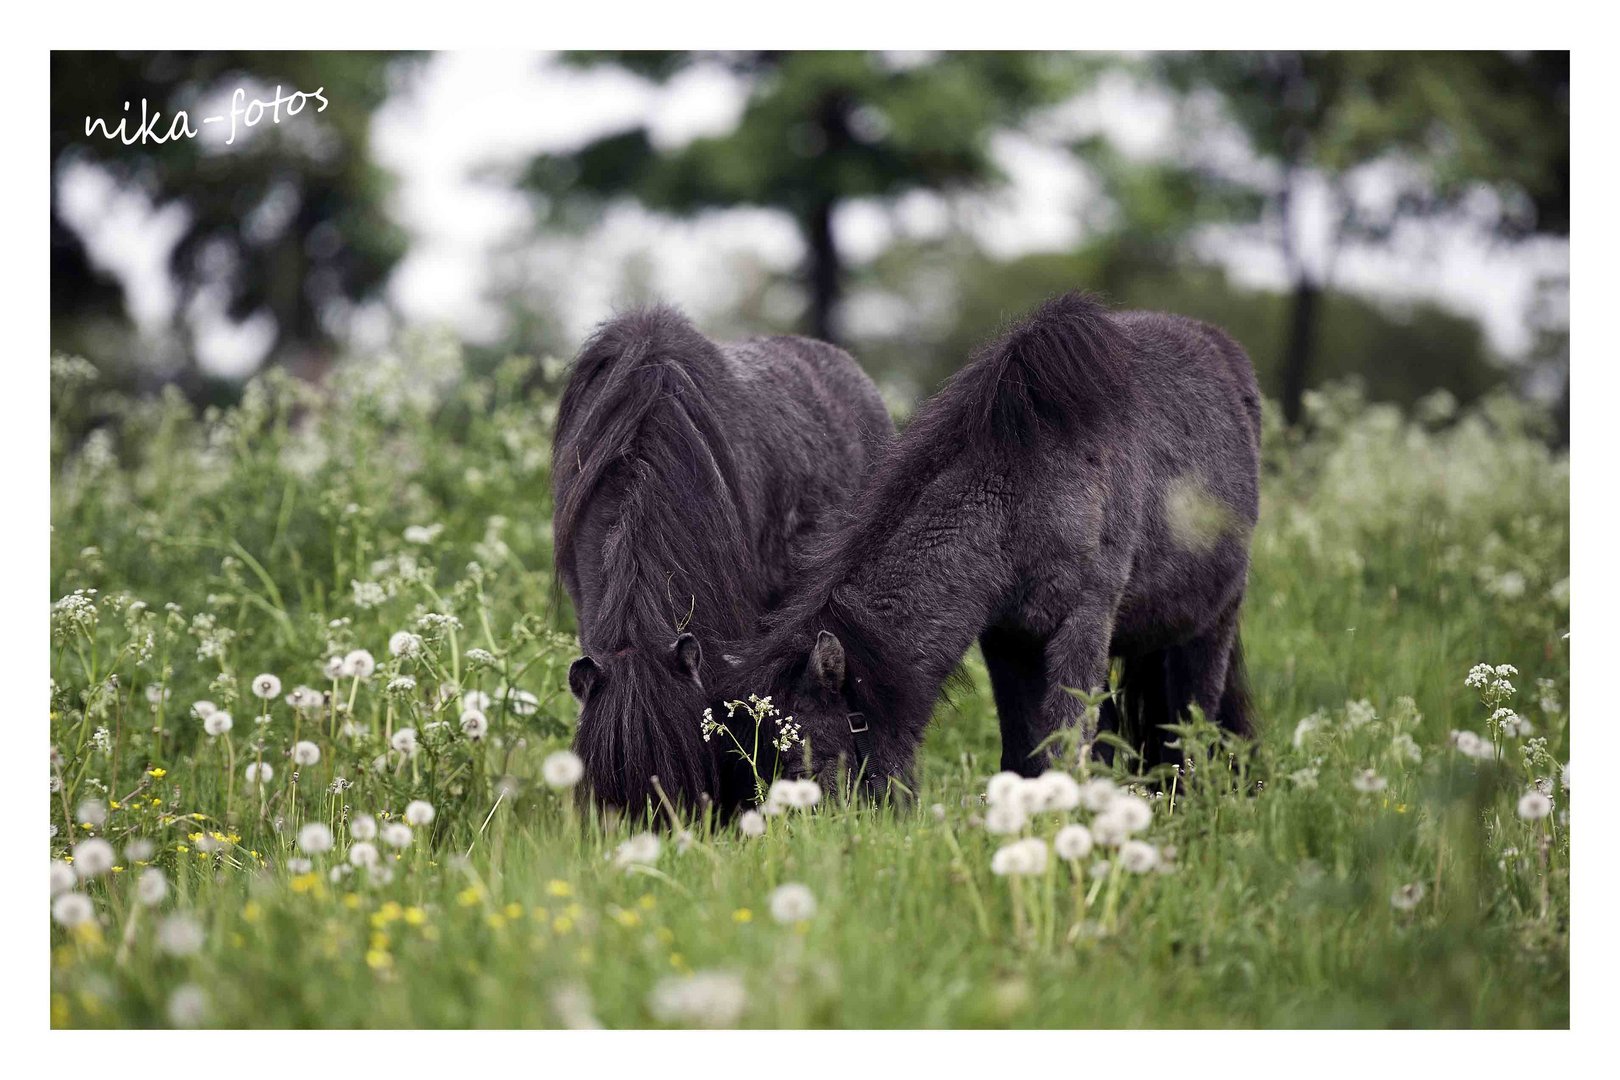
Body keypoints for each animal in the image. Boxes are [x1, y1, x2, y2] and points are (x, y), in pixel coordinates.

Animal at [719, 291, 1263, 806]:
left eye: (814, 749)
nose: (816, 828)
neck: (1025, 482)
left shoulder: (1083, 624)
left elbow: (1066, 743)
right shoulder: (1007, 640)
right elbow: (1024, 750)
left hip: (1211, 626)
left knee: (1194, 725)